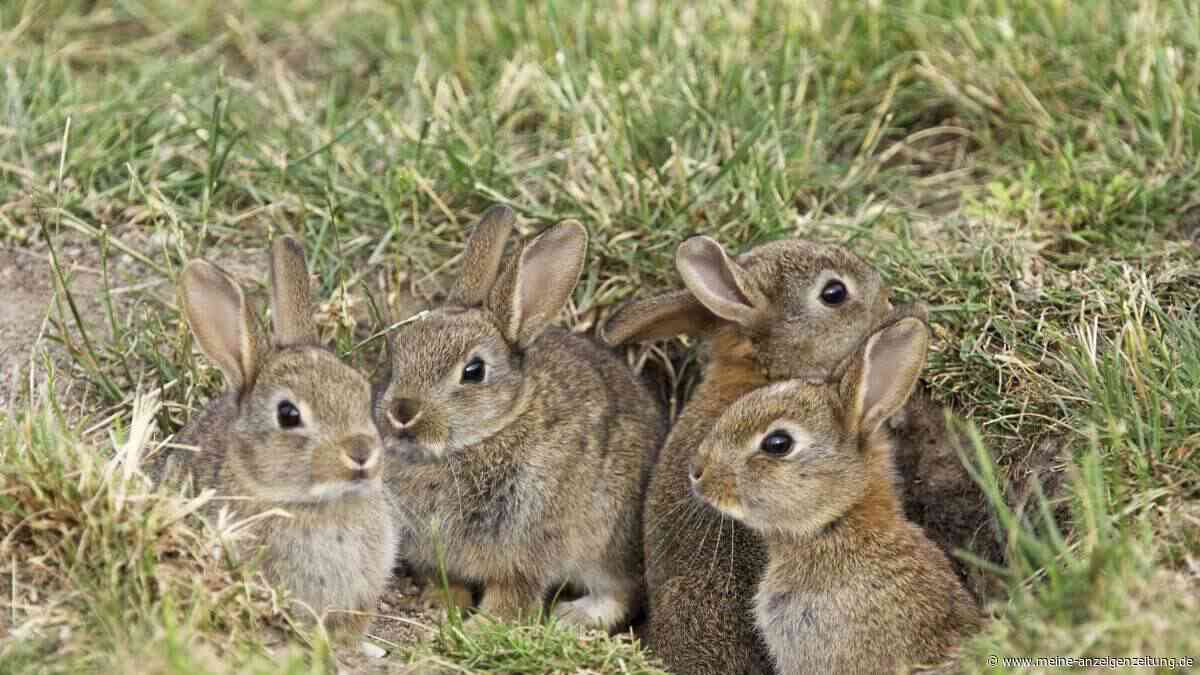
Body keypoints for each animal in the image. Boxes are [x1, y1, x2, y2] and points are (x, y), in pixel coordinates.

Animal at [374, 205, 667, 632]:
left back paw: (573, 615)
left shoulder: (527, 546)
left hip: (611, 539)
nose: (401, 413)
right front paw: (441, 605)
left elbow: (512, 594)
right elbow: (451, 580)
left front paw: (480, 628)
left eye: (474, 371)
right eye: (399, 350)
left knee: (623, 591)